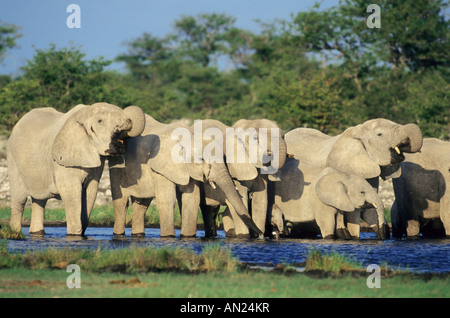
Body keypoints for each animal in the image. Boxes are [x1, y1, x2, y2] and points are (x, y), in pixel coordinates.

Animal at [7, 102, 144, 236]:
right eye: (100, 121)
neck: (84, 113)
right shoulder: (63, 162)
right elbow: (72, 192)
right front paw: (74, 235)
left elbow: (90, 191)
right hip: (13, 161)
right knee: (19, 201)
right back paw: (15, 233)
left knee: (40, 200)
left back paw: (37, 233)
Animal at [110, 115, 262, 237]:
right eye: (201, 159)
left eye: (224, 158)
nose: (261, 234)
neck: (189, 136)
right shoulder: (160, 166)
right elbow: (167, 200)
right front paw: (168, 237)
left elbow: (191, 200)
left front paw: (187, 237)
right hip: (117, 167)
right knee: (121, 203)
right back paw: (119, 234)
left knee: (141, 204)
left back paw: (138, 234)